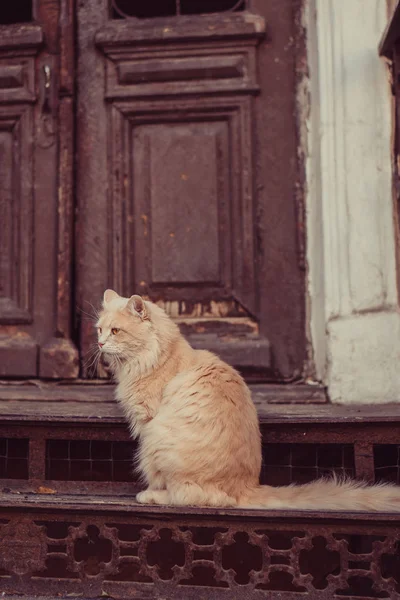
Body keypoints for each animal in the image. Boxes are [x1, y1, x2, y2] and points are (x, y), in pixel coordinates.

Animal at [97, 290, 400, 510]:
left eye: (115, 331)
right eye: (99, 329)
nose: (99, 344)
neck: (157, 357)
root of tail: (245, 486)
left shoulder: (148, 422)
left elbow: (158, 479)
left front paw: (150, 491)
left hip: (157, 441)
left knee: (185, 496)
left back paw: (150, 496)